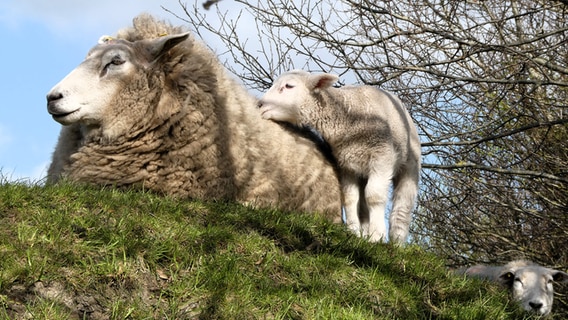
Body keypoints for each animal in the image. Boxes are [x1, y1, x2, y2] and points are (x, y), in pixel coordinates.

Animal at [258, 69, 422, 241]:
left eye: (289, 86)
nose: (259, 104)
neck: (347, 116)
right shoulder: (346, 164)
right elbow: (349, 198)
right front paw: (353, 232)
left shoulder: (382, 157)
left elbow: (374, 195)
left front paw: (377, 235)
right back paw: (365, 235)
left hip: (410, 164)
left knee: (403, 207)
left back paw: (396, 241)